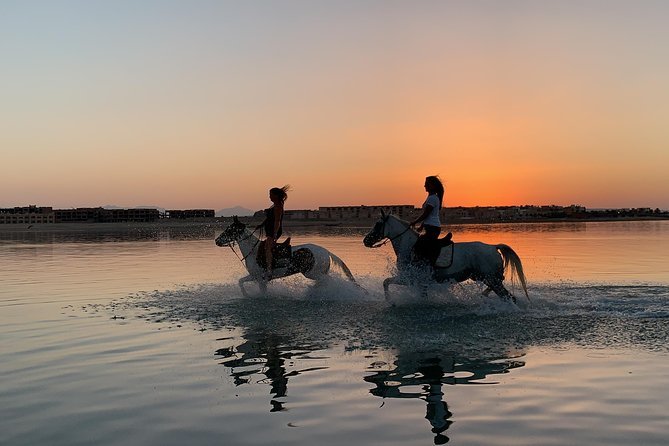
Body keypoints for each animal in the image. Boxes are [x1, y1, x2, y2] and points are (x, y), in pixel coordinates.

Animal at [217, 216, 358, 296]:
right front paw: (246, 295)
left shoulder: (261, 279)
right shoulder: (254, 276)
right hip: (317, 273)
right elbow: (240, 282)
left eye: (229, 230)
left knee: (328, 280)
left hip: (312, 273)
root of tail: (326, 252)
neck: (254, 251)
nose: (217, 241)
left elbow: (261, 292)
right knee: (324, 282)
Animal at [360, 213, 528, 304]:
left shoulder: (410, 278)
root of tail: (493, 247)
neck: (408, 245)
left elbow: (386, 282)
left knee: (509, 297)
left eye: (378, 224)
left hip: (491, 279)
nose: (366, 241)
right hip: (485, 278)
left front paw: (391, 301)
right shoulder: (416, 281)